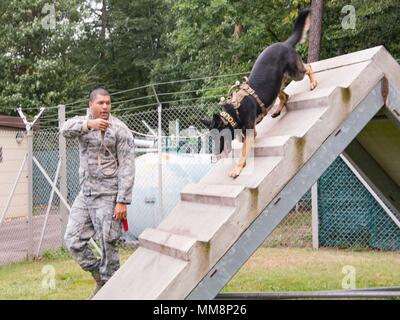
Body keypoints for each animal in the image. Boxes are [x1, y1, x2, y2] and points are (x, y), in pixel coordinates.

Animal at [202, 9, 318, 178]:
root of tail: (284, 43)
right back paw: (277, 110)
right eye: (212, 138)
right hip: (276, 86)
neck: (234, 112)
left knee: (308, 67)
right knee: (285, 96)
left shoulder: (249, 133)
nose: (216, 154)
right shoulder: (250, 134)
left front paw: (238, 168)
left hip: (295, 73)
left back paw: (312, 82)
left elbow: (243, 152)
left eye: (220, 138)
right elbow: (245, 147)